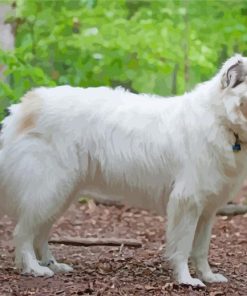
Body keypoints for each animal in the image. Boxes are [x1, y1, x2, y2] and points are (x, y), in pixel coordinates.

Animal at [0, 53, 247, 286]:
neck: (221, 120)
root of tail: (26, 105)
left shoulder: (207, 209)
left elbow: (201, 249)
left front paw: (208, 276)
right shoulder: (187, 202)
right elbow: (183, 247)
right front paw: (186, 280)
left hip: (61, 194)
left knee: (40, 234)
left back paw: (52, 264)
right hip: (48, 190)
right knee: (23, 233)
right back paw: (33, 268)